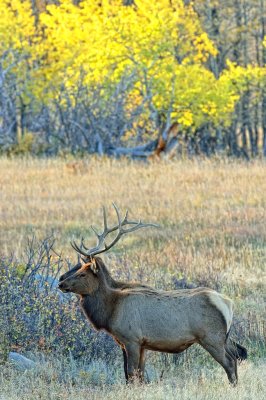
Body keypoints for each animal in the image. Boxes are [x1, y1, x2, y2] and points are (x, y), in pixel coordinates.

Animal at [58, 205, 247, 386]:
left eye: (82, 273)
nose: (61, 283)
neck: (110, 311)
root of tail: (228, 303)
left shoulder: (131, 339)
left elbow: (131, 373)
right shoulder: (140, 344)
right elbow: (138, 374)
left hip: (211, 337)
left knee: (230, 362)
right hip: (224, 337)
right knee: (239, 354)